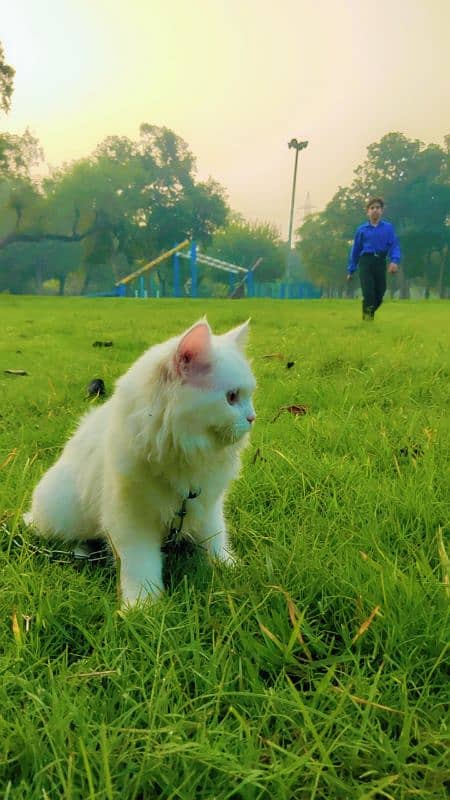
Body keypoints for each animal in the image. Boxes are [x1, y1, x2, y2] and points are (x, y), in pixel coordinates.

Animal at [24, 318, 256, 608]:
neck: (181, 452)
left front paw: (229, 567)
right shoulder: (131, 520)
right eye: (231, 397)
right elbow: (141, 565)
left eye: (249, 396)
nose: (252, 418)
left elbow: (215, 539)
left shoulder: (207, 506)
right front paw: (143, 606)